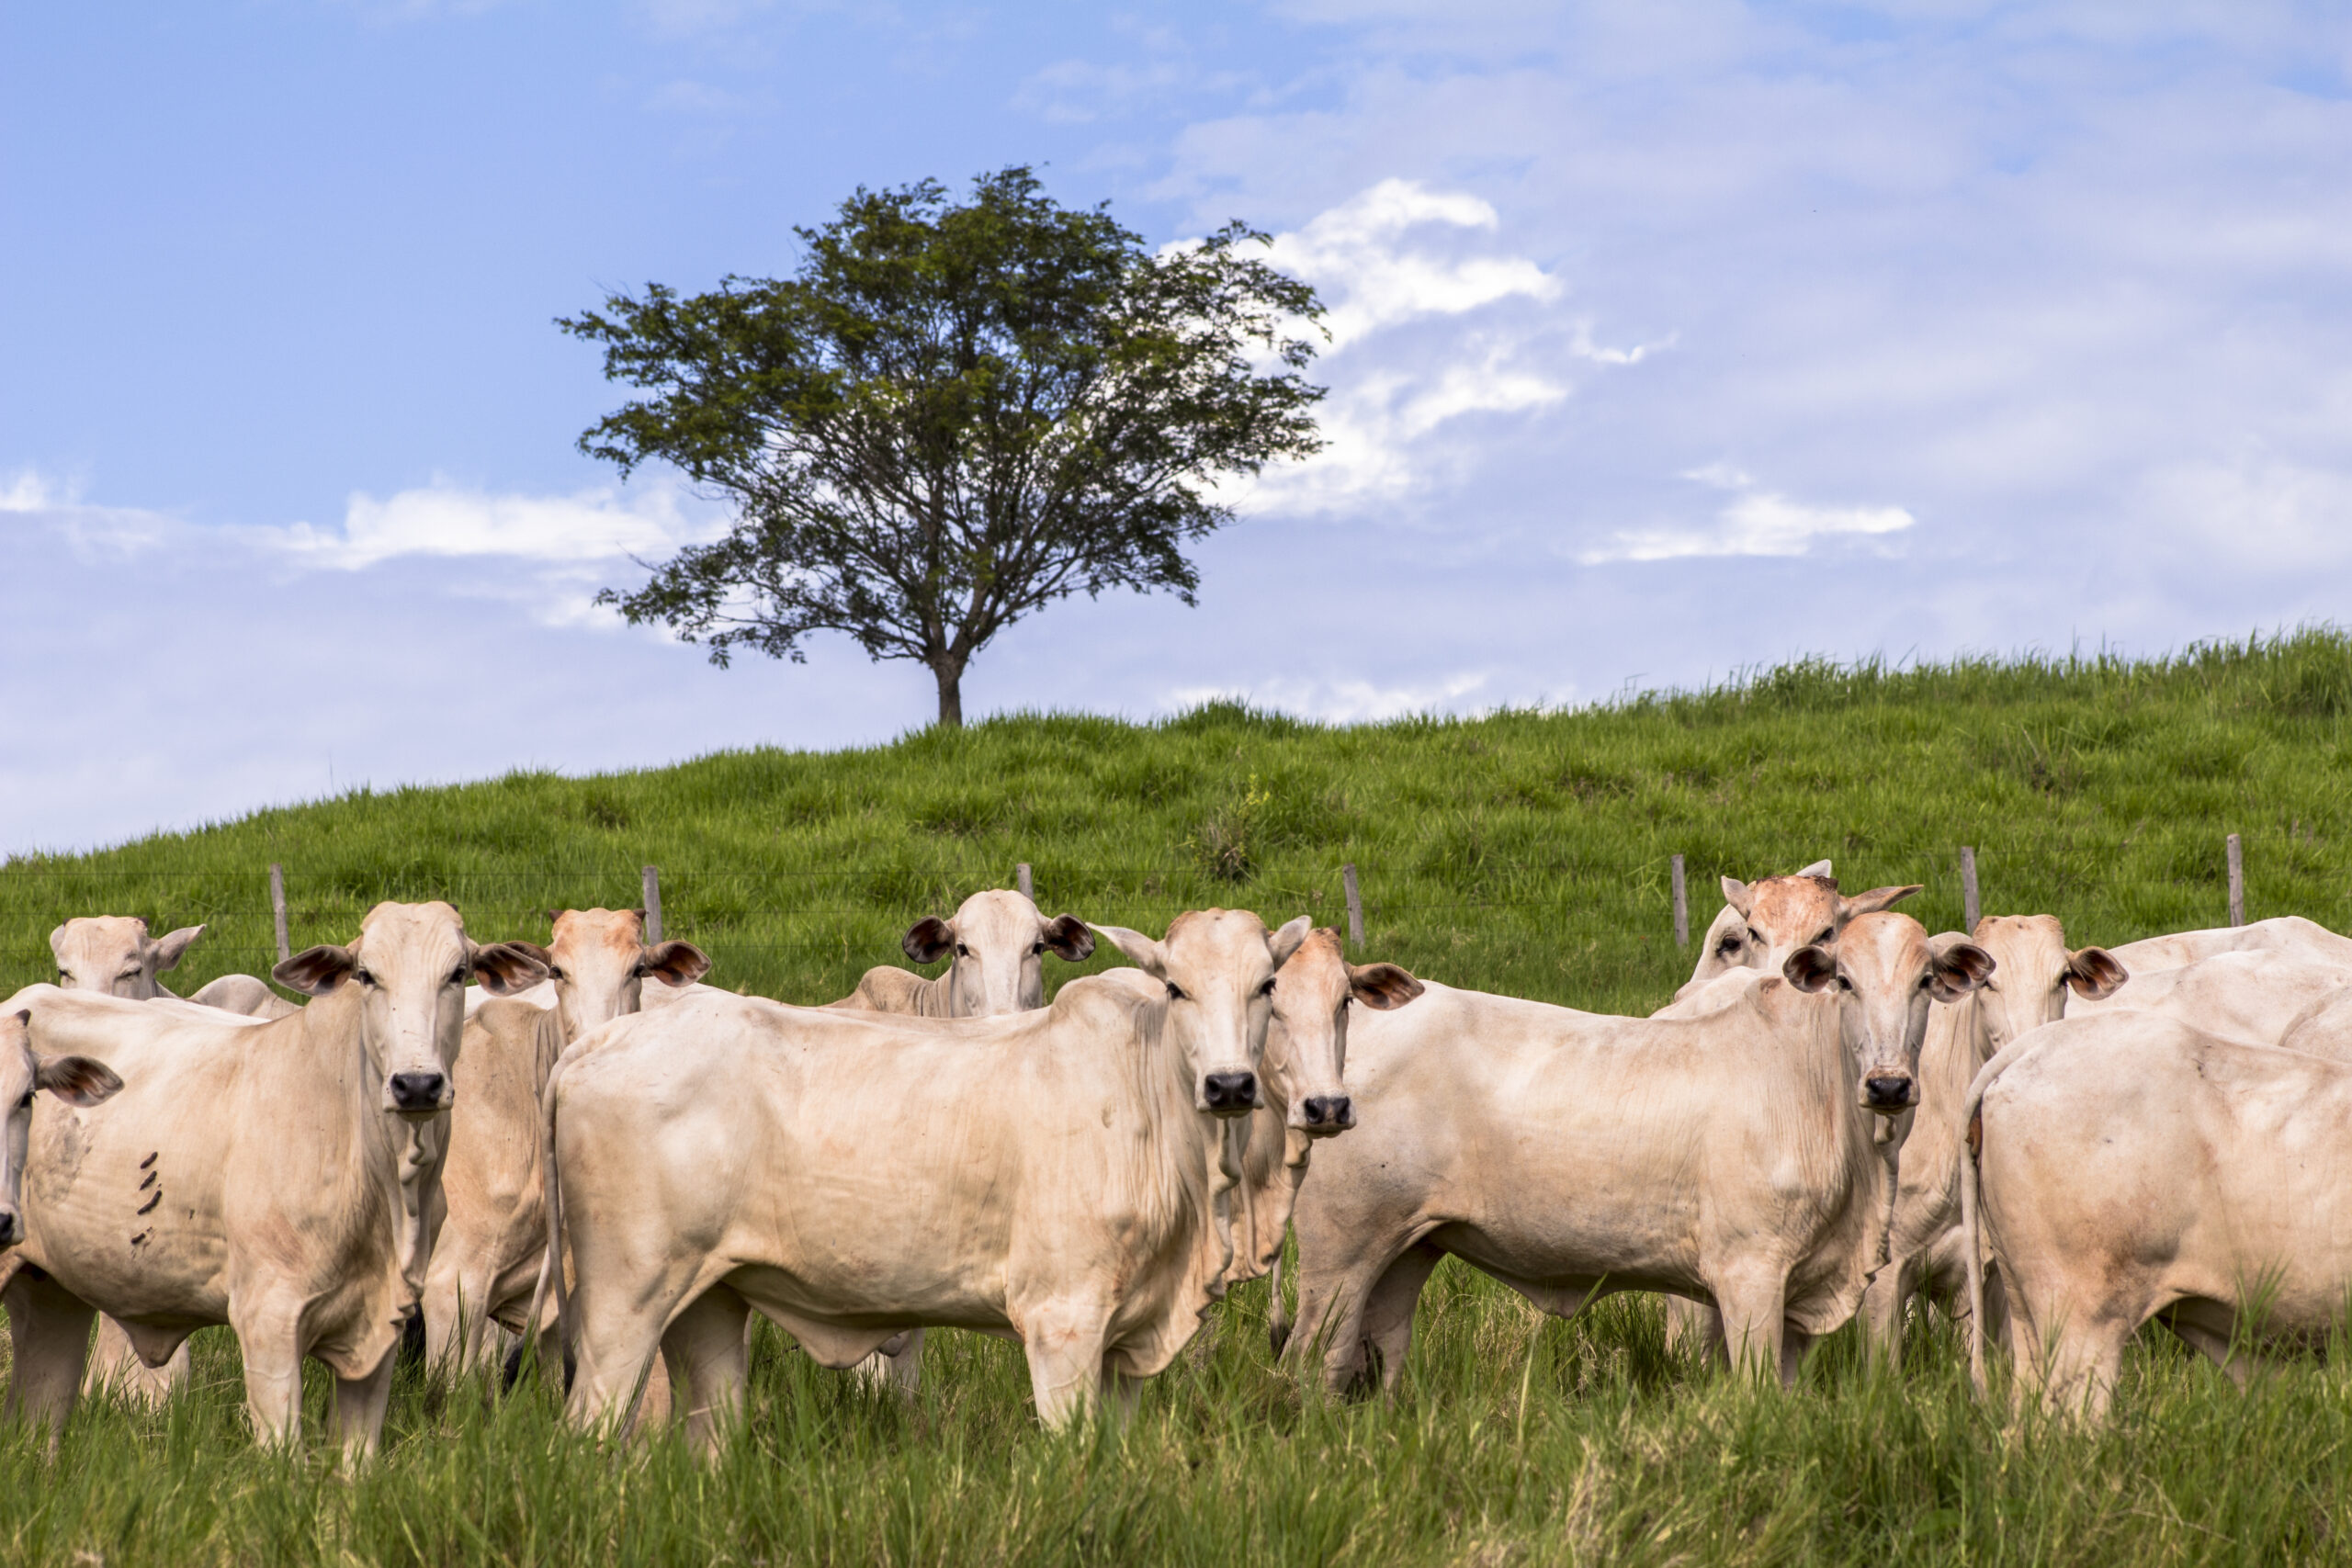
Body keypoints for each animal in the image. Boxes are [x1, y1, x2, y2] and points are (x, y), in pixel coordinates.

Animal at [2, 907, 540, 1457]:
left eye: (458, 973)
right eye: (366, 975)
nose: (416, 1085)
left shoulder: (385, 1321)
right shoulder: (270, 1317)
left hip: (51, 1292)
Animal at [536, 911, 1307, 1457]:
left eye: (1267, 985)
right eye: (1177, 987)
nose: (1230, 1084)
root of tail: (592, 1043)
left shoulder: (1127, 1342)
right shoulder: (1062, 1320)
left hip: (709, 1301)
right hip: (622, 1301)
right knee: (585, 1430)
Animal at [1288, 911, 1984, 1392]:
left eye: (1925, 981)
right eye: (1844, 980)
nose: (1889, 1084)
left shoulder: (1805, 1292)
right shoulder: (1750, 1272)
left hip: (1406, 1248)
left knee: (1381, 1352)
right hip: (1337, 1252)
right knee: (1315, 1359)